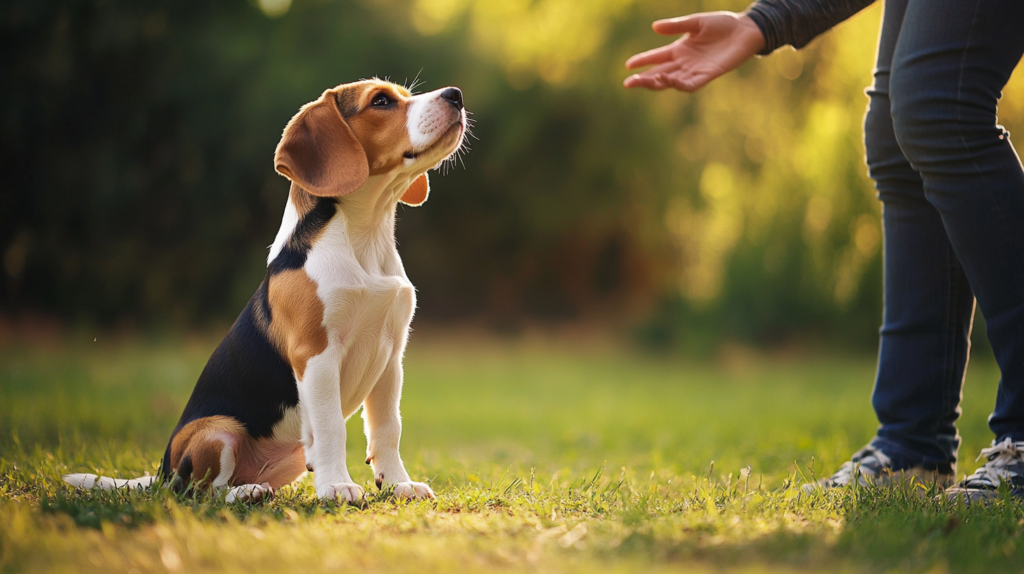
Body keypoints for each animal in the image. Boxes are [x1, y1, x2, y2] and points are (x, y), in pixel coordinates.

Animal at [60, 79, 468, 501]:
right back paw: (247, 493)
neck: (365, 237)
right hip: (217, 431)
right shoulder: (316, 355)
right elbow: (332, 428)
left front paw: (398, 483)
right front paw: (337, 485)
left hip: (290, 454)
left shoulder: (390, 356)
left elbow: (387, 428)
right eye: (382, 101)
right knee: (204, 492)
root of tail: (161, 473)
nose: (455, 95)